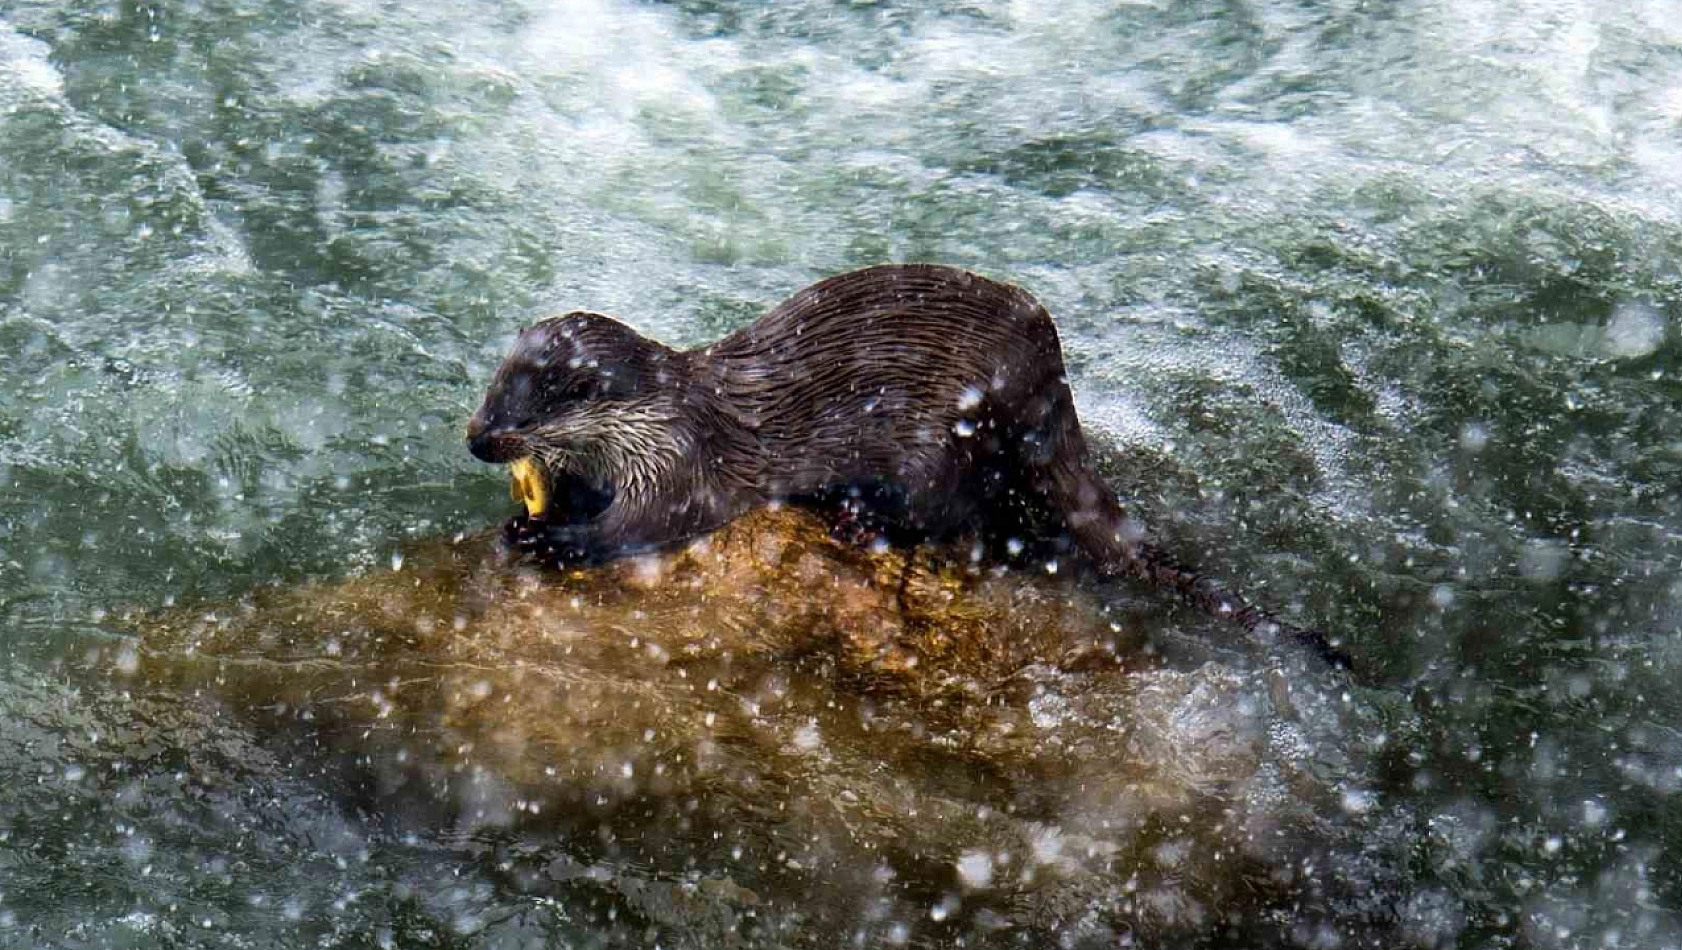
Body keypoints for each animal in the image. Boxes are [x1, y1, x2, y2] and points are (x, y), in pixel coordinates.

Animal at [467, 262, 1345, 669]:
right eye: (489, 389)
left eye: (523, 410)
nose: (477, 441)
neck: (659, 417)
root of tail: (1047, 364)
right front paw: (535, 512)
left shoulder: (681, 462)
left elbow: (645, 526)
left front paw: (552, 539)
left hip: (944, 438)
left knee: (958, 513)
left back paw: (860, 517)